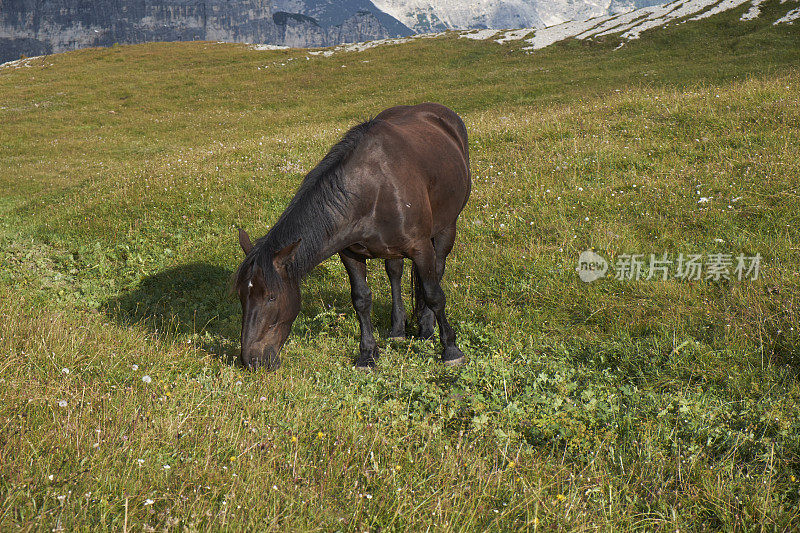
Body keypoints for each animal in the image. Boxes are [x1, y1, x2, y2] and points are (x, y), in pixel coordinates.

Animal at [233, 103, 468, 370]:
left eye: (271, 297)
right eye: (241, 296)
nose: (252, 360)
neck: (373, 189)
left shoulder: (421, 248)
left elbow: (433, 294)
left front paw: (450, 349)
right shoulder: (349, 253)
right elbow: (361, 299)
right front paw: (367, 353)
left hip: (446, 228)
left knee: (437, 270)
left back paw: (427, 328)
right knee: (394, 272)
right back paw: (398, 329)